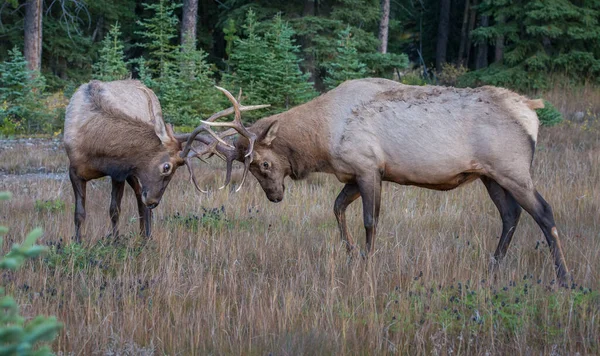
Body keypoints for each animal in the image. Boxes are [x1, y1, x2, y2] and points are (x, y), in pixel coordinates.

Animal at [62, 79, 266, 241]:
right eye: (166, 167)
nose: (153, 201)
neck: (96, 148)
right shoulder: (74, 170)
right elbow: (79, 213)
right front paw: (78, 242)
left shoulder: (119, 171)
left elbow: (114, 210)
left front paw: (115, 241)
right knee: (139, 197)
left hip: (134, 173)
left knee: (140, 199)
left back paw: (146, 236)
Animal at [231, 77, 572, 284]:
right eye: (251, 170)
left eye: (263, 164)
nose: (274, 196)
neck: (321, 141)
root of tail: (531, 111)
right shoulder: (356, 174)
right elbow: (337, 207)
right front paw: (351, 254)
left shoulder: (368, 168)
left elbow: (370, 220)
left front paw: (367, 263)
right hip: (490, 176)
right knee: (510, 215)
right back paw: (493, 267)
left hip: (514, 171)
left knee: (544, 212)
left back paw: (564, 277)